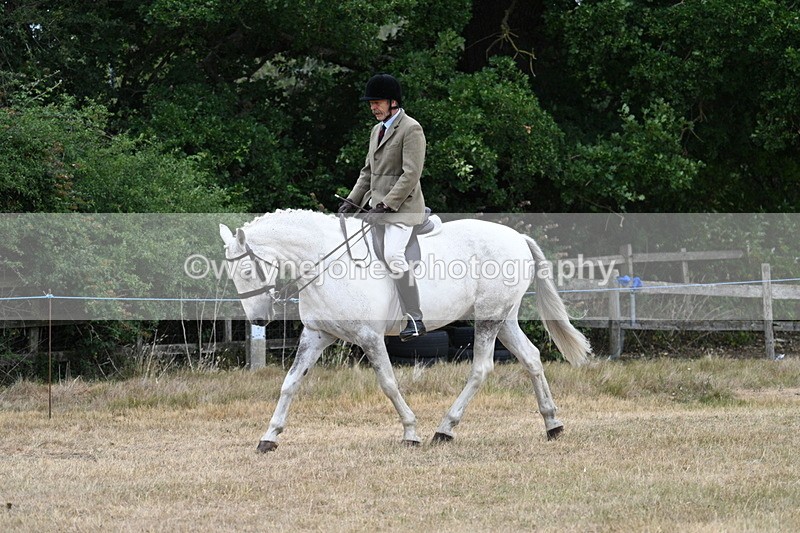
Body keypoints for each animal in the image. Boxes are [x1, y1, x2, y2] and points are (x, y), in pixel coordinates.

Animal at [219, 209, 591, 452]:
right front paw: (269, 437)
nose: (259, 321)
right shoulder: (316, 335)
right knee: (531, 358)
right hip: (503, 318)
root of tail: (517, 237)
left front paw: (411, 432)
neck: (326, 262)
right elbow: (290, 382)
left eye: (248, 270)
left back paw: (445, 430)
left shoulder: (369, 337)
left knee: (481, 368)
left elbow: (388, 383)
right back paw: (552, 424)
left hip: (487, 319)